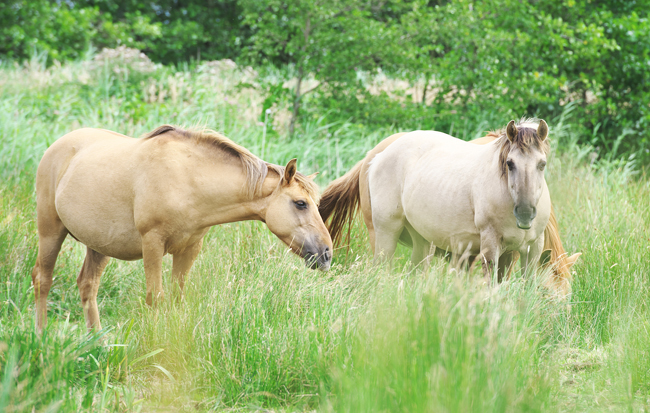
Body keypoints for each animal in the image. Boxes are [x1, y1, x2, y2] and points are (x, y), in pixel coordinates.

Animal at [31, 125, 333, 332]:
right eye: (300, 203)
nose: (327, 253)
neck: (187, 179)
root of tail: (57, 146)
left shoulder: (189, 249)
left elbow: (177, 299)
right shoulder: (152, 244)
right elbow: (155, 298)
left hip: (99, 244)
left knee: (88, 286)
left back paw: (98, 343)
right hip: (50, 231)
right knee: (42, 279)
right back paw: (41, 336)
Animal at [320, 119, 561, 290]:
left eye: (542, 164)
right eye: (510, 164)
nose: (525, 213)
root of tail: (377, 157)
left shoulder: (529, 249)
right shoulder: (491, 246)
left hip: (422, 241)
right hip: (384, 234)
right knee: (380, 271)